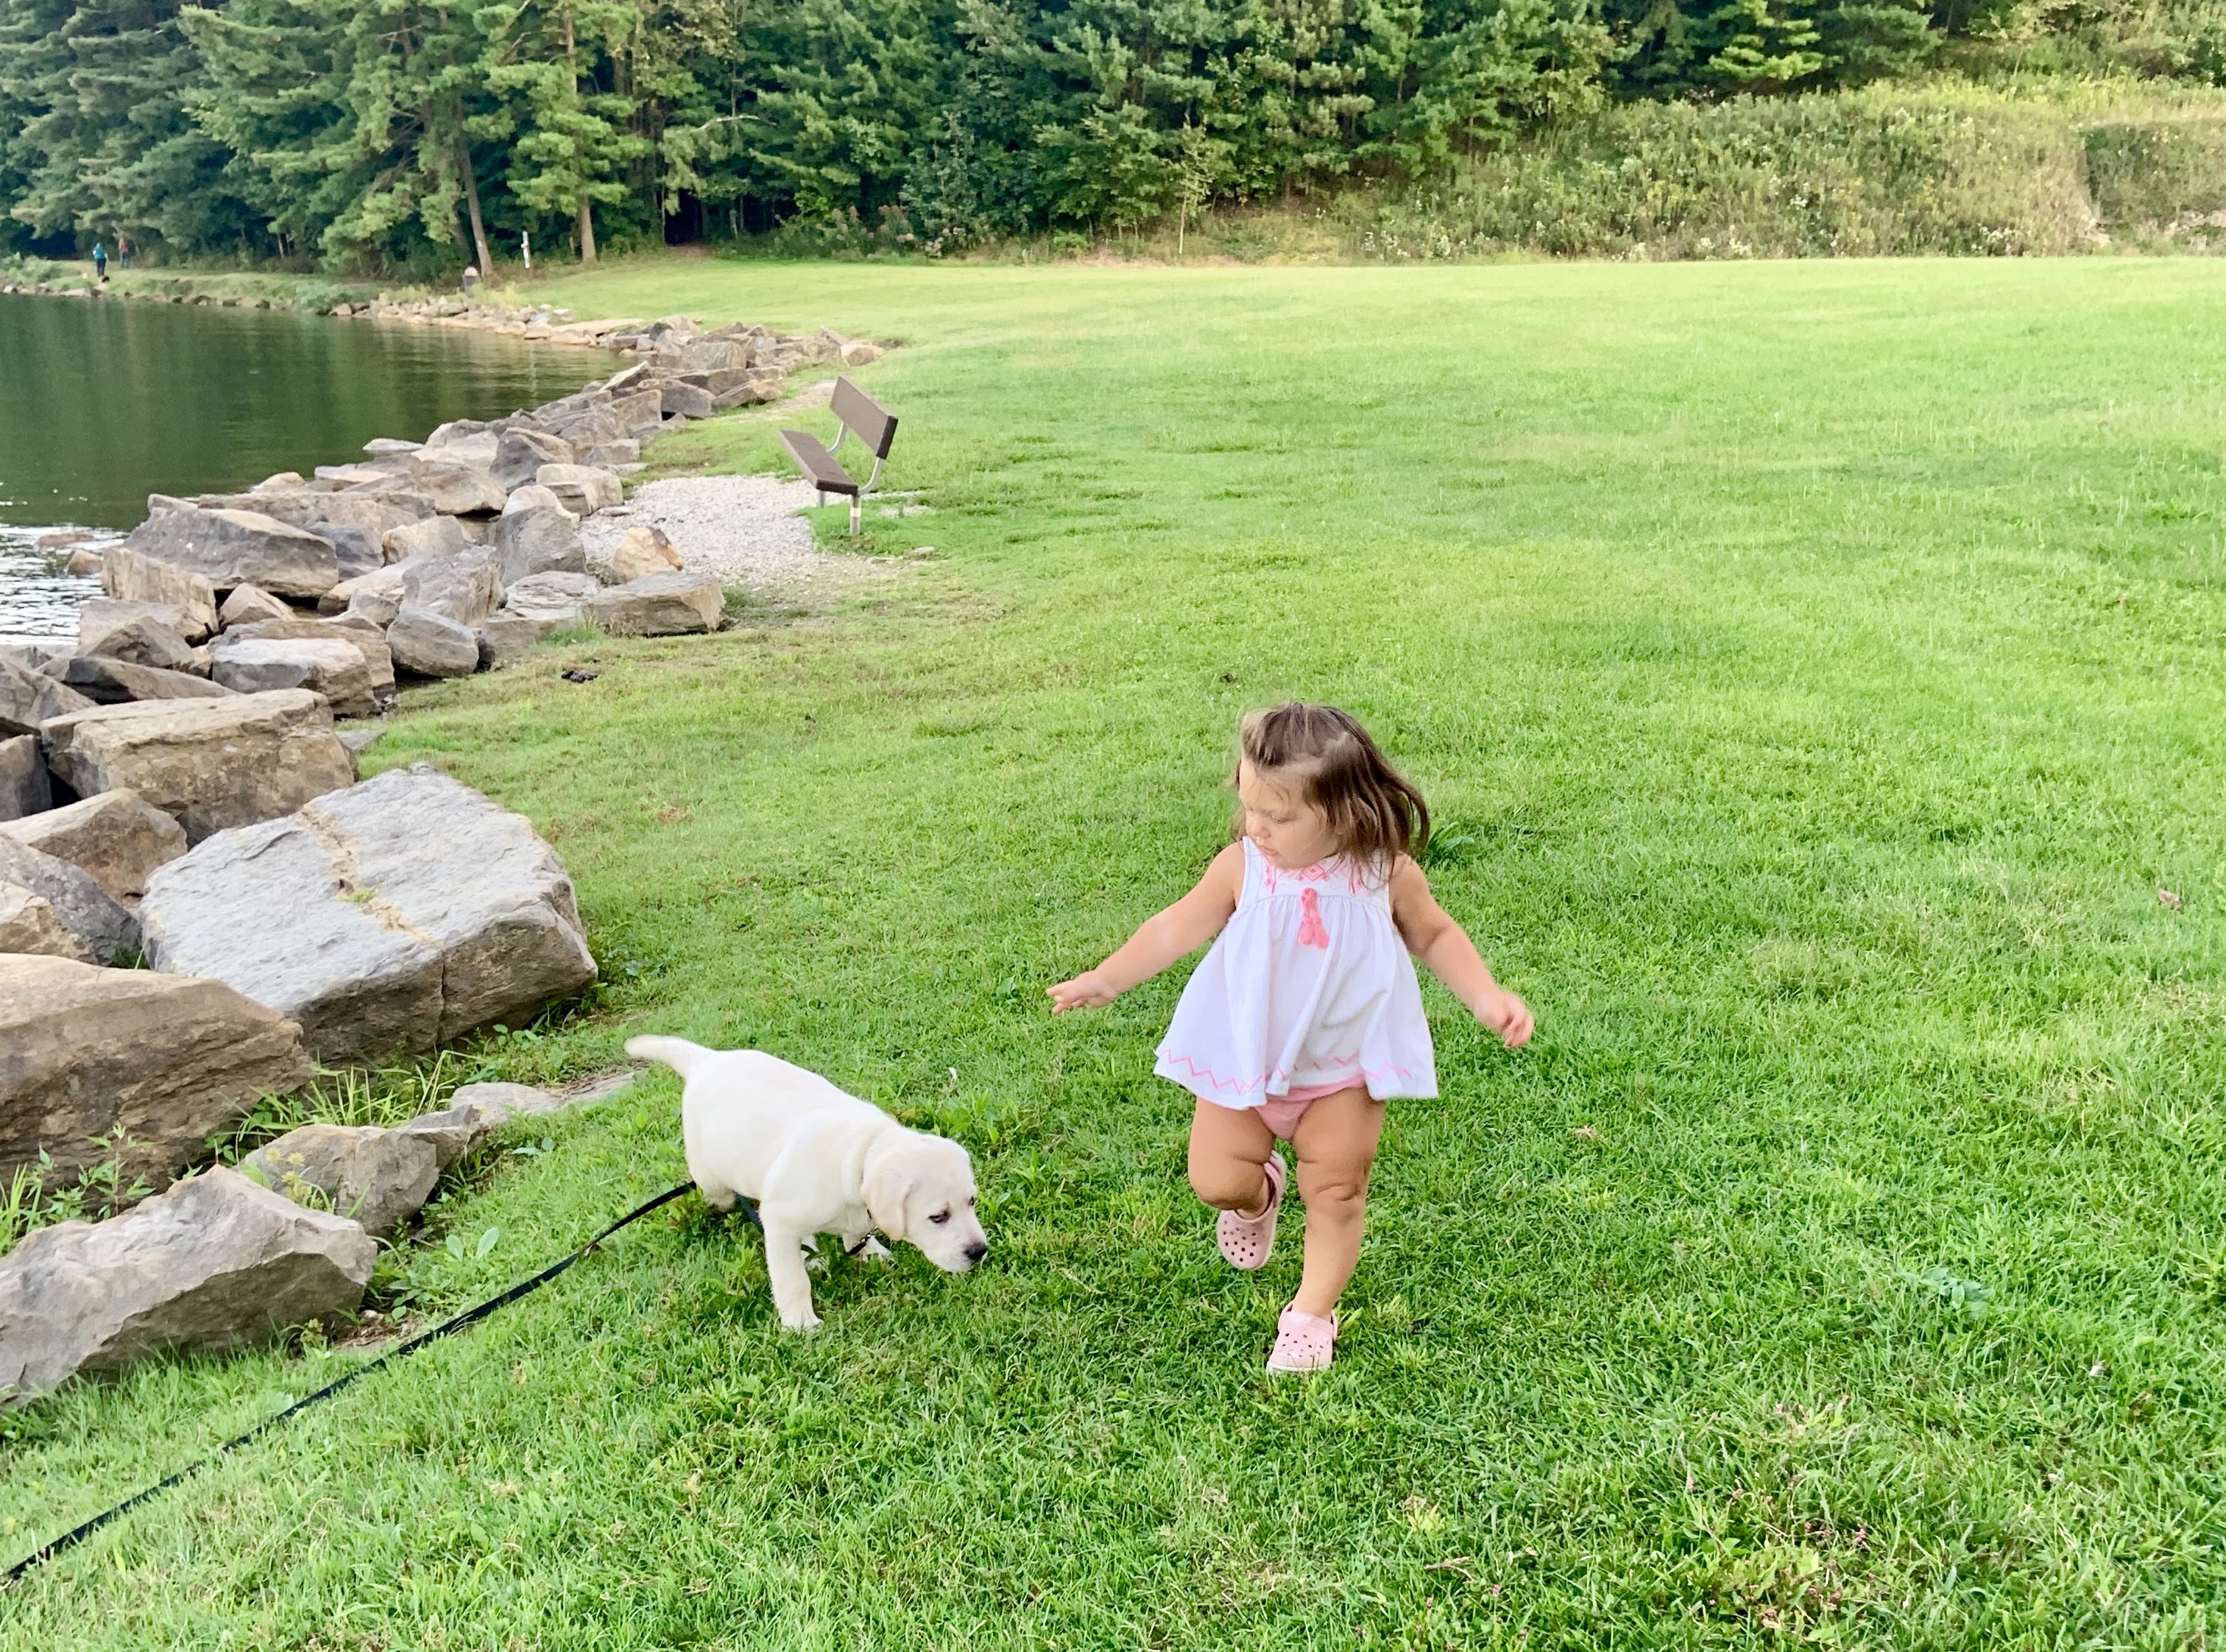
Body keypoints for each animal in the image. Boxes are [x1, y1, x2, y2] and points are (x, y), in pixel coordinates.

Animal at [625, 1037, 988, 1332]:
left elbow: (857, 1232)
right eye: (938, 1217)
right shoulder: (779, 1219)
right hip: (711, 1177)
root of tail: (705, 1059)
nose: (979, 1251)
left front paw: (868, 1252)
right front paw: (800, 1322)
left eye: (972, 1202)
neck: (863, 1150)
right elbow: (792, 1278)